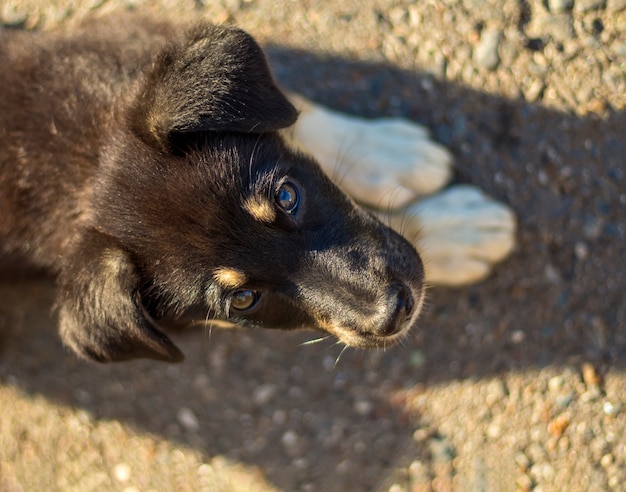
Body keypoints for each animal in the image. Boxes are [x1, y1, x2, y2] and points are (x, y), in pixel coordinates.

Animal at [0, 19, 424, 362]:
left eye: (287, 196)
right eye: (243, 300)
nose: (396, 310)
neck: (85, 158)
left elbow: (296, 113)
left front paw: (386, 153)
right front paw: (442, 230)